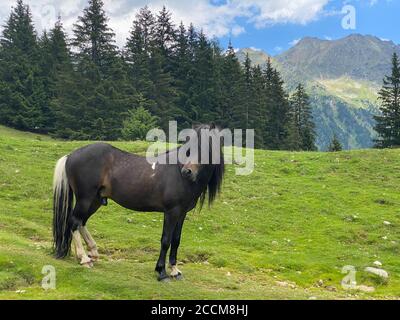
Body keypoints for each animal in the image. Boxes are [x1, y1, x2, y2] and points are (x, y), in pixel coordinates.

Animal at [51, 124, 223, 282]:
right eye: (188, 147)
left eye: (206, 147)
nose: (187, 171)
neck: (179, 175)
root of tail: (71, 155)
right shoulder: (171, 212)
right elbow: (166, 240)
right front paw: (161, 272)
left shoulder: (181, 213)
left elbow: (176, 240)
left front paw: (175, 270)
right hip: (85, 199)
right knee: (74, 222)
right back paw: (84, 259)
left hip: (95, 201)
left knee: (81, 222)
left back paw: (93, 252)